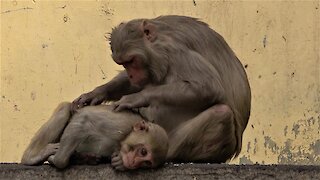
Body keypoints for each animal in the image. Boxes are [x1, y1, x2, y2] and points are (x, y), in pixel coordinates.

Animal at [21, 102, 169, 170]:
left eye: (146, 163)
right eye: (143, 151)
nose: (132, 163)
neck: (122, 140)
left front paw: (120, 163)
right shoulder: (121, 125)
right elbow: (84, 120)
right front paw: (57, 160)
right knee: (65, 109)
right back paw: (31, 157)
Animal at [72, 14, 250, 162]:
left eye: (132, 61)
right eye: (123, 64)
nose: (131, 75)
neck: (158, 40)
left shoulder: (175, 52)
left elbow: (208, 86)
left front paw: (136, 98)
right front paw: (97, 93)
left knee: (221, 113)